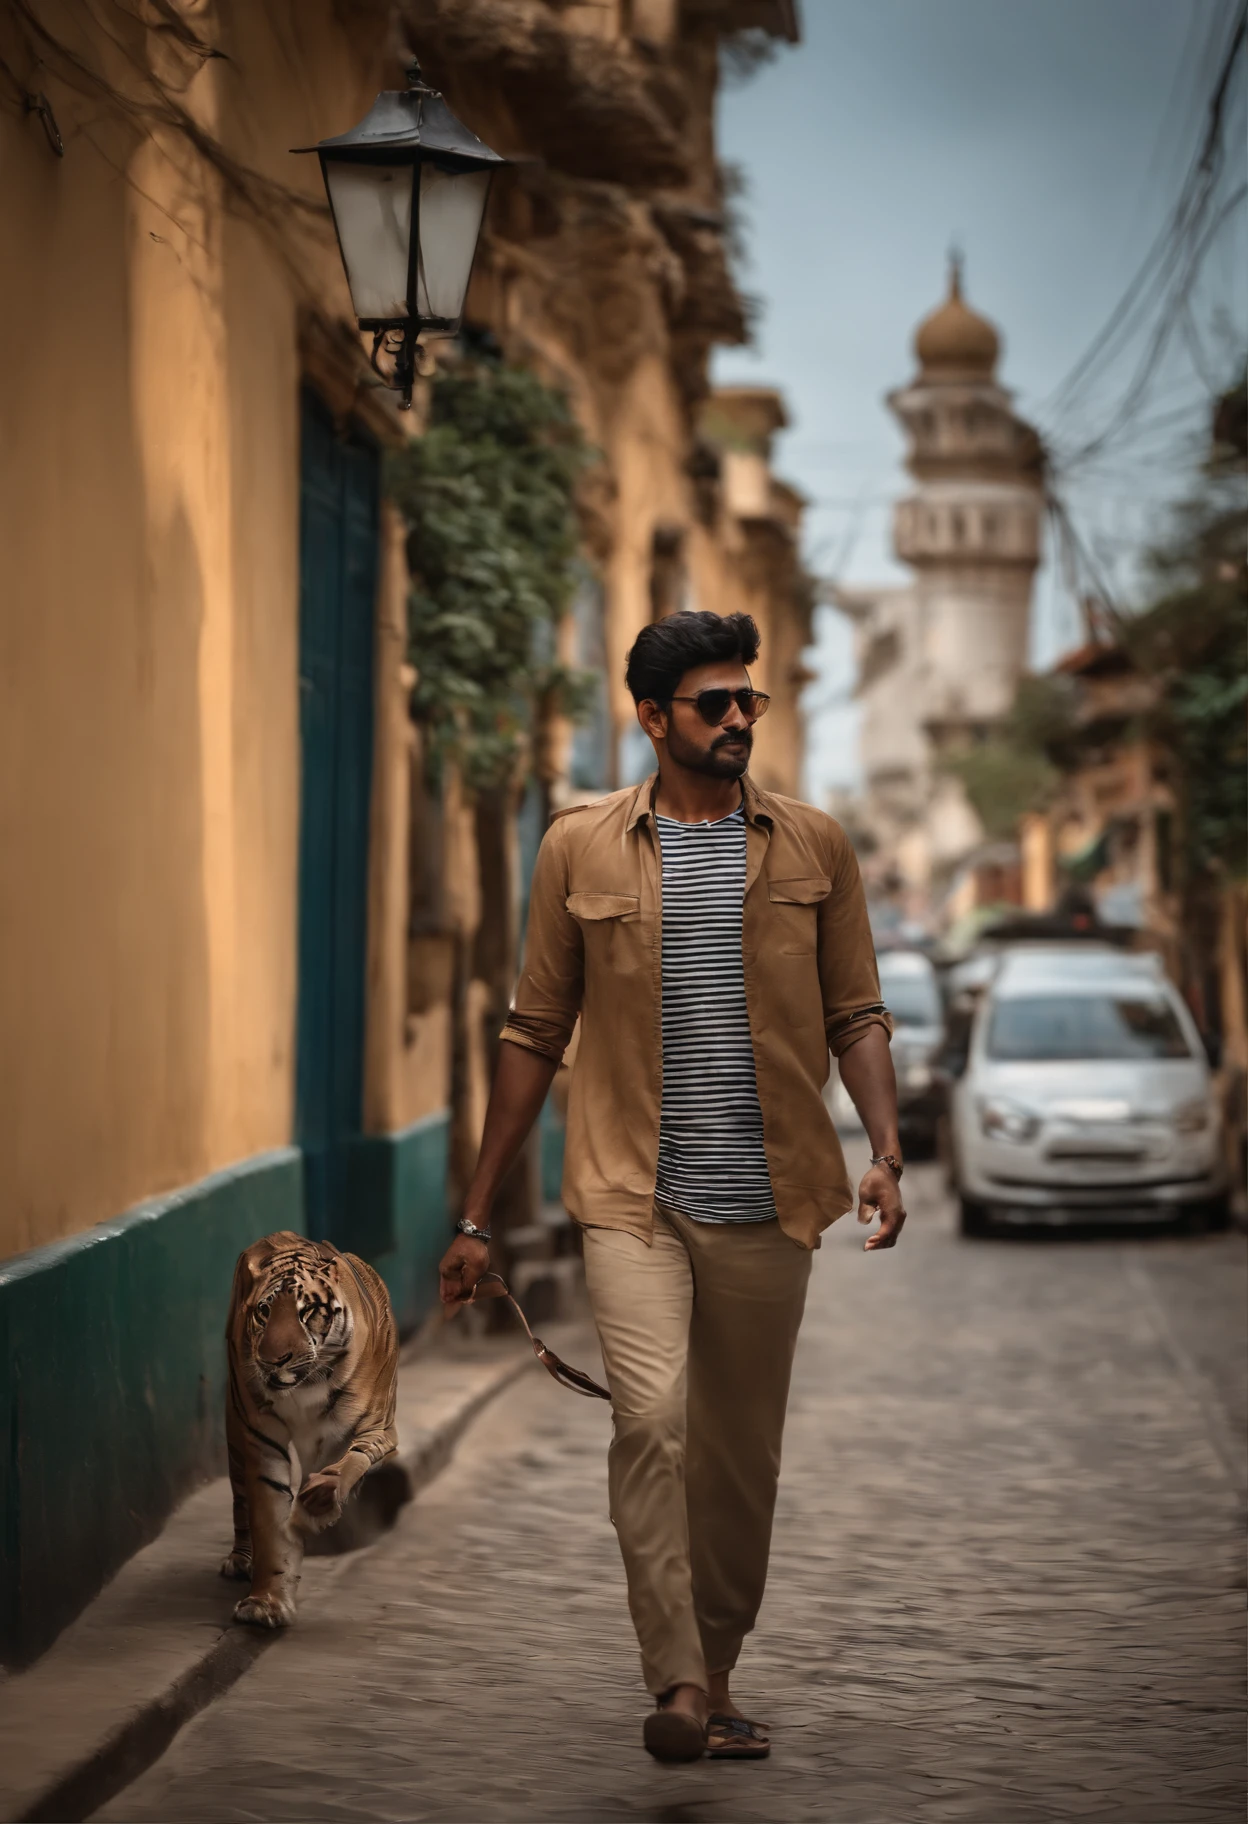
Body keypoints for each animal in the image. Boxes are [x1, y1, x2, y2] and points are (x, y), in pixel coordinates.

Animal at [218, 1225, 399, 1627]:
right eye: (264, 1311)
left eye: (308, 1312)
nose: (274, 1360)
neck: (307, 1385)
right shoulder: (261, 1440)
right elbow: (269, 1524)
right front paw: (266, 1603)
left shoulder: (378, 1430)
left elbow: (349, 1464)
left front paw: (319, 1501)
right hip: (235, 1434)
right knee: (239, 1500)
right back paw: (241, 1559)